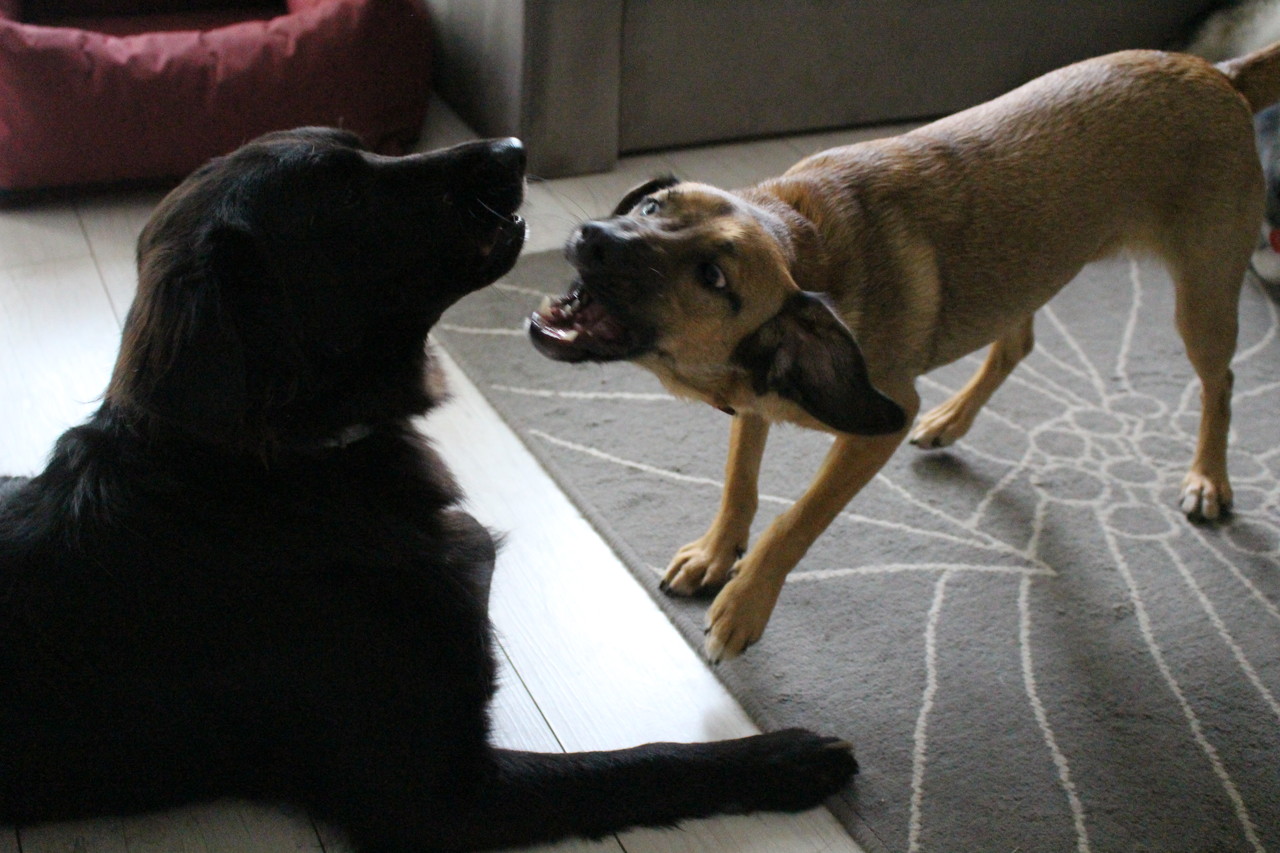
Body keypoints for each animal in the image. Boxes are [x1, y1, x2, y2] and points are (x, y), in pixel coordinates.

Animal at [0, 128, 856, 850]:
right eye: (343, 192)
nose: (512, 147)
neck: (289, 468)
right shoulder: (435, 796)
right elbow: (645, 761)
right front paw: (787, 756)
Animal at [529, 44, 1280, 662]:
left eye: (712, 277)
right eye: (653, 206)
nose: (592, 236)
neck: (802, 248)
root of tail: (1218, 71)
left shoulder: (875, 427)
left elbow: (796, 520)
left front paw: (744, 603)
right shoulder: (756, 404)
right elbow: (740, 481)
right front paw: (717, 553)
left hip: (1201, 298)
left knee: (1221, 382)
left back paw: (1209, 477)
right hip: (1030, 272)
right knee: (1018, 342)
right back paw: (952, 420)